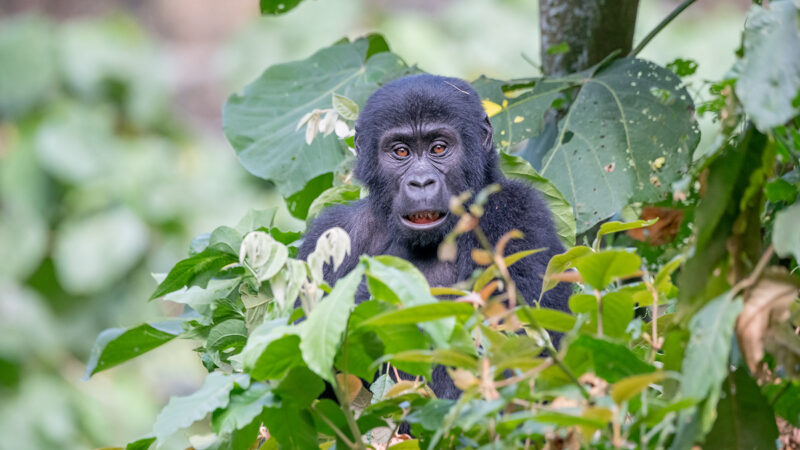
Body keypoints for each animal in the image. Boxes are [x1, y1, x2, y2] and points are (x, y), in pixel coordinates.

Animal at [298, 74, 568, 400]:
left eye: (438, 148)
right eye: (401, 151)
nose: (421, 182)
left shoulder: (517, 212)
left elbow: (525, 349)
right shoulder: (331, 232)